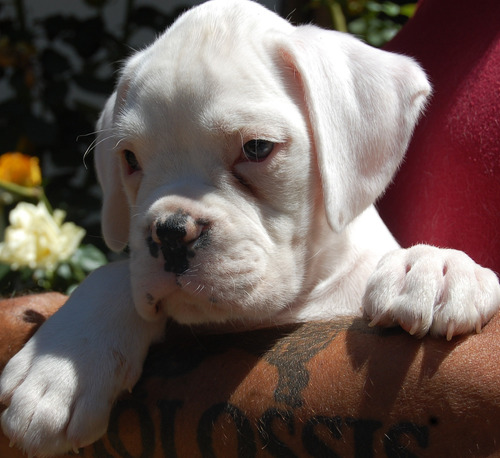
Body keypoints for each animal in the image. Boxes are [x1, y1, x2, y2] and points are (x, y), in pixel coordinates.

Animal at [0, 0, 500, 454]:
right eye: (130, 159)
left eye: (257, 148)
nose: (170, 232)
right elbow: (112, 274)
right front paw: (61, 361)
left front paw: (435, 268)